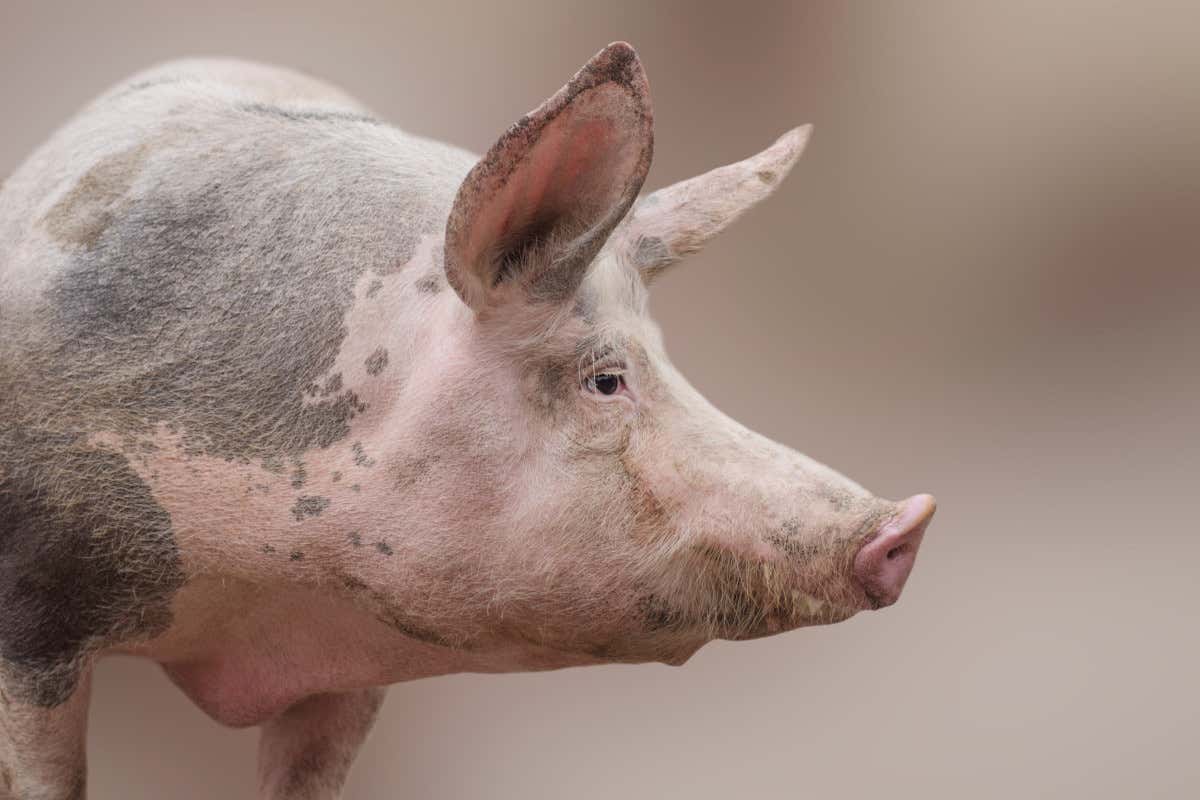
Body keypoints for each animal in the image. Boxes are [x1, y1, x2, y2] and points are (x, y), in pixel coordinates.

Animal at [0, 42, 936, 799]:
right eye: (606, 379)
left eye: (668, 358)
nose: (906, 522)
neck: (252, 610)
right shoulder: (32, 625)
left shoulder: (350, 672)